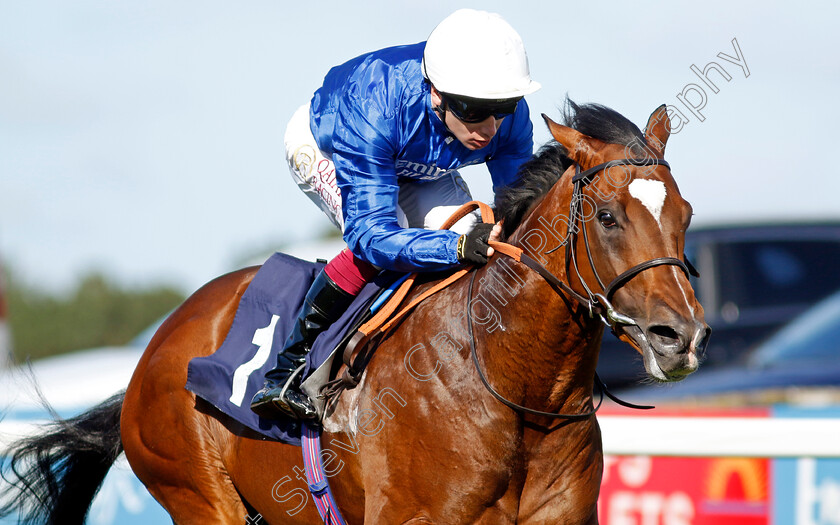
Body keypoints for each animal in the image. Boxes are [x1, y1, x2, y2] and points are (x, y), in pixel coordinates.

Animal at [0, 100, 708, 520]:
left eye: (685, 212)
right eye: (608, 216)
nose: (680, 336)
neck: (515, 389)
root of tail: (156, 347)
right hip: (197, 495)